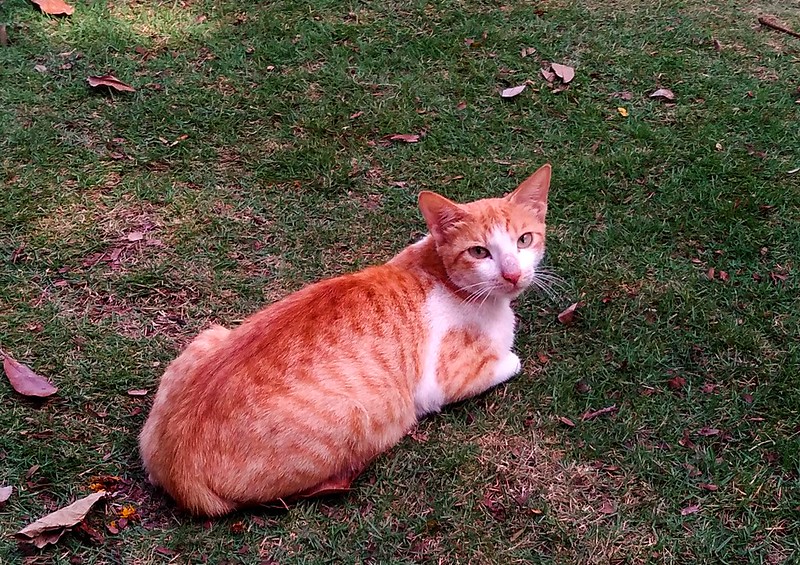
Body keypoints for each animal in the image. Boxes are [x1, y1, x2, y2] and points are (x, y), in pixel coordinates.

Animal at [139, 163, 552, 516]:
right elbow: (511, 359)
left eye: (524, 240)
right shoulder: (445, 382)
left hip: (210, 334)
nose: (513, 275)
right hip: (359, 415)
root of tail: (179, 471)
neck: (438, 272)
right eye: (479, 252)